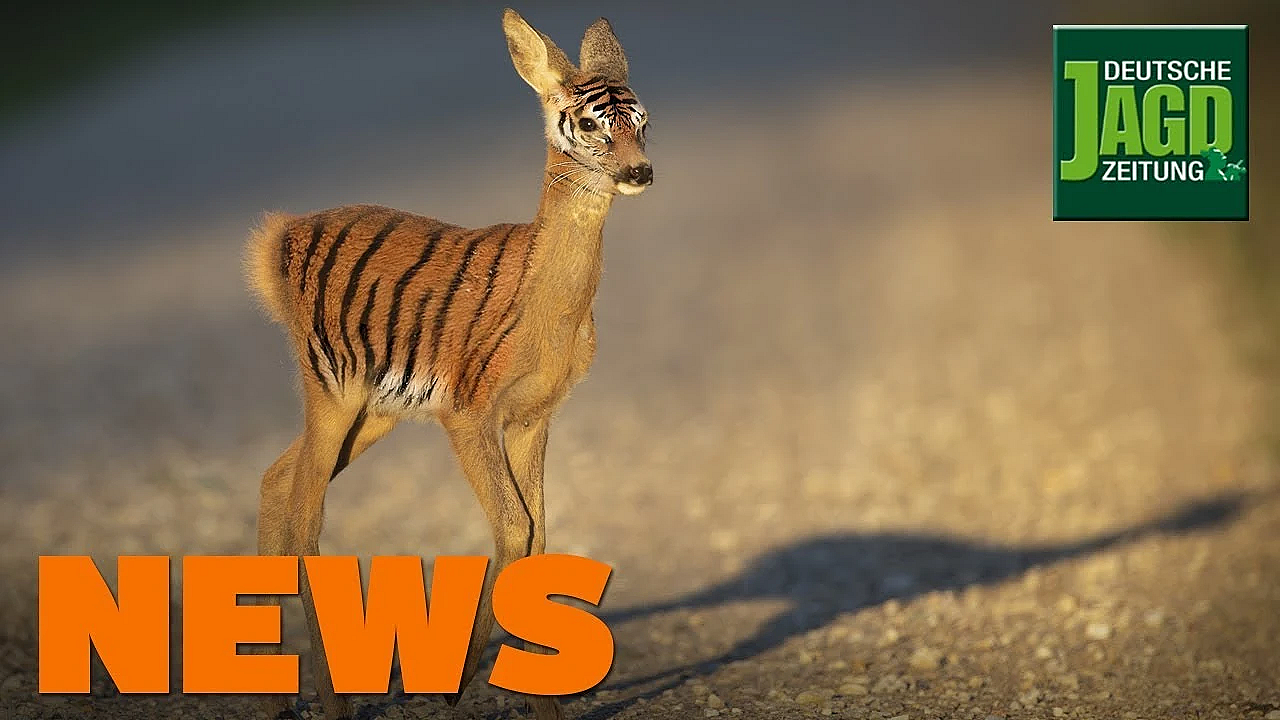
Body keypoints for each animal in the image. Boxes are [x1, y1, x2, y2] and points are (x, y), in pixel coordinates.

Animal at [243, 9, 651, 720]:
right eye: (589, 122)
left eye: (643, 119)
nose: (641, 172)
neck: (551, 307)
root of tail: (280, 237)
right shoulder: (468, 412)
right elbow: (515, 525)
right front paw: (456, 686)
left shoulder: (534, 417)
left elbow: (538, 537)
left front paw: (539, 704)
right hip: (331, 388)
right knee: (303, 515)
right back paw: (335, 703)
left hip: (374, 413)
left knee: (275, 480)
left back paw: (275, 699)